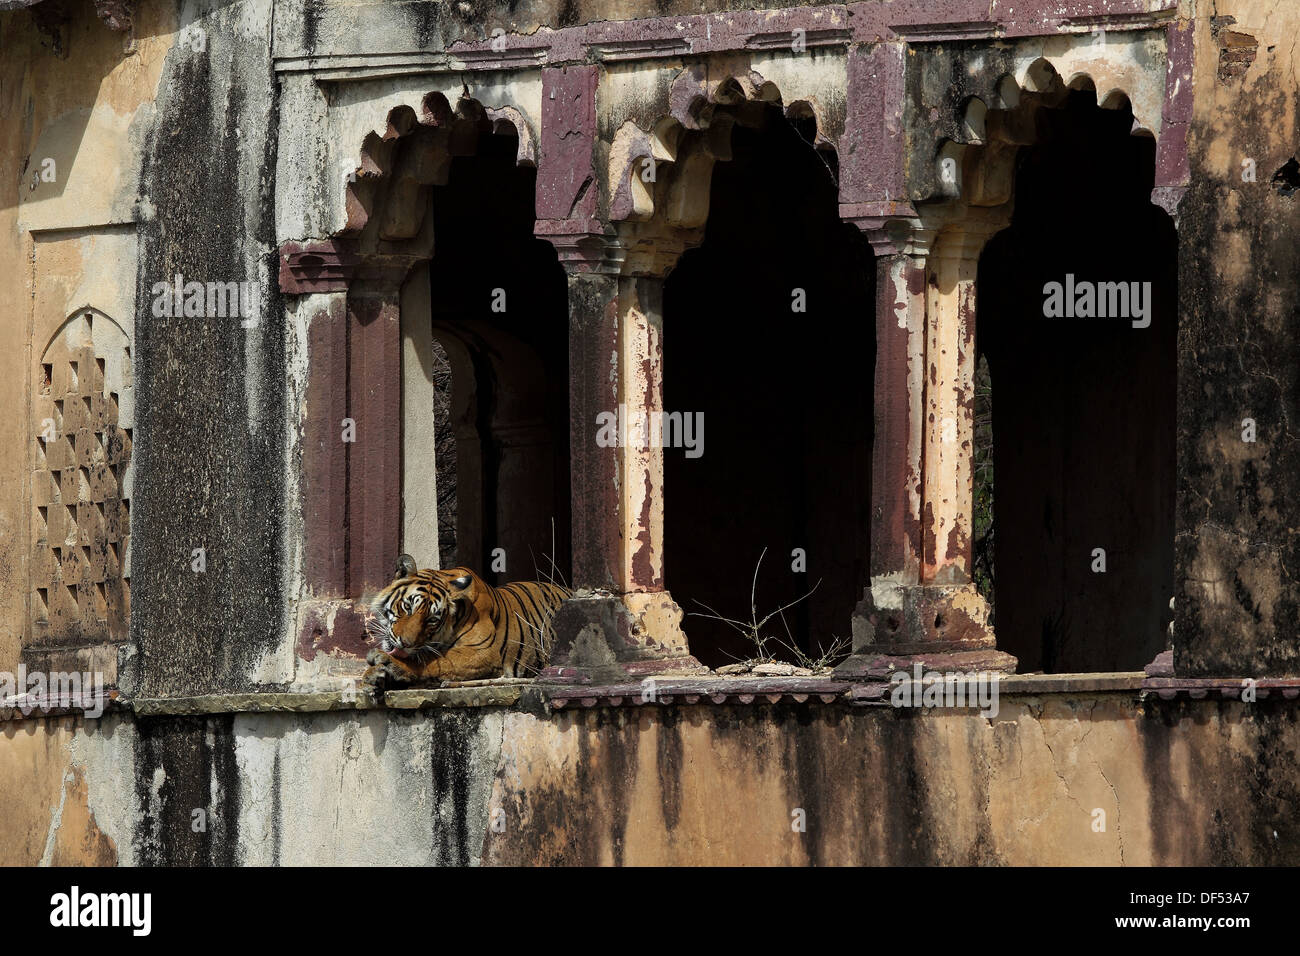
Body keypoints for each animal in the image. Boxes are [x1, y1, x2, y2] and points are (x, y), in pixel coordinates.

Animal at [364, 554, 572, 686]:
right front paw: (375, 675)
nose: (406, 644)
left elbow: (431, 660)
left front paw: (390, 664)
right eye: (408, 607)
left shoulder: (482, 652)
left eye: (432, 619)